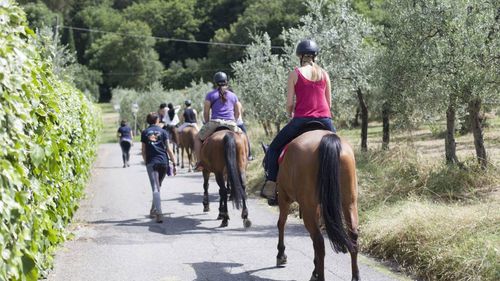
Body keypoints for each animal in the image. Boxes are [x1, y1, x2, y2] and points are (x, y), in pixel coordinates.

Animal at [274, 130, 360, 280]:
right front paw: (315, 268)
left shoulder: (284, 197)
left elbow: (281, 223)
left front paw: (281, 254)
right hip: (349, 203)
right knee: (352, 236)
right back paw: (355, 276)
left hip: (306, 206)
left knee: (319, 241)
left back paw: (320, 276)